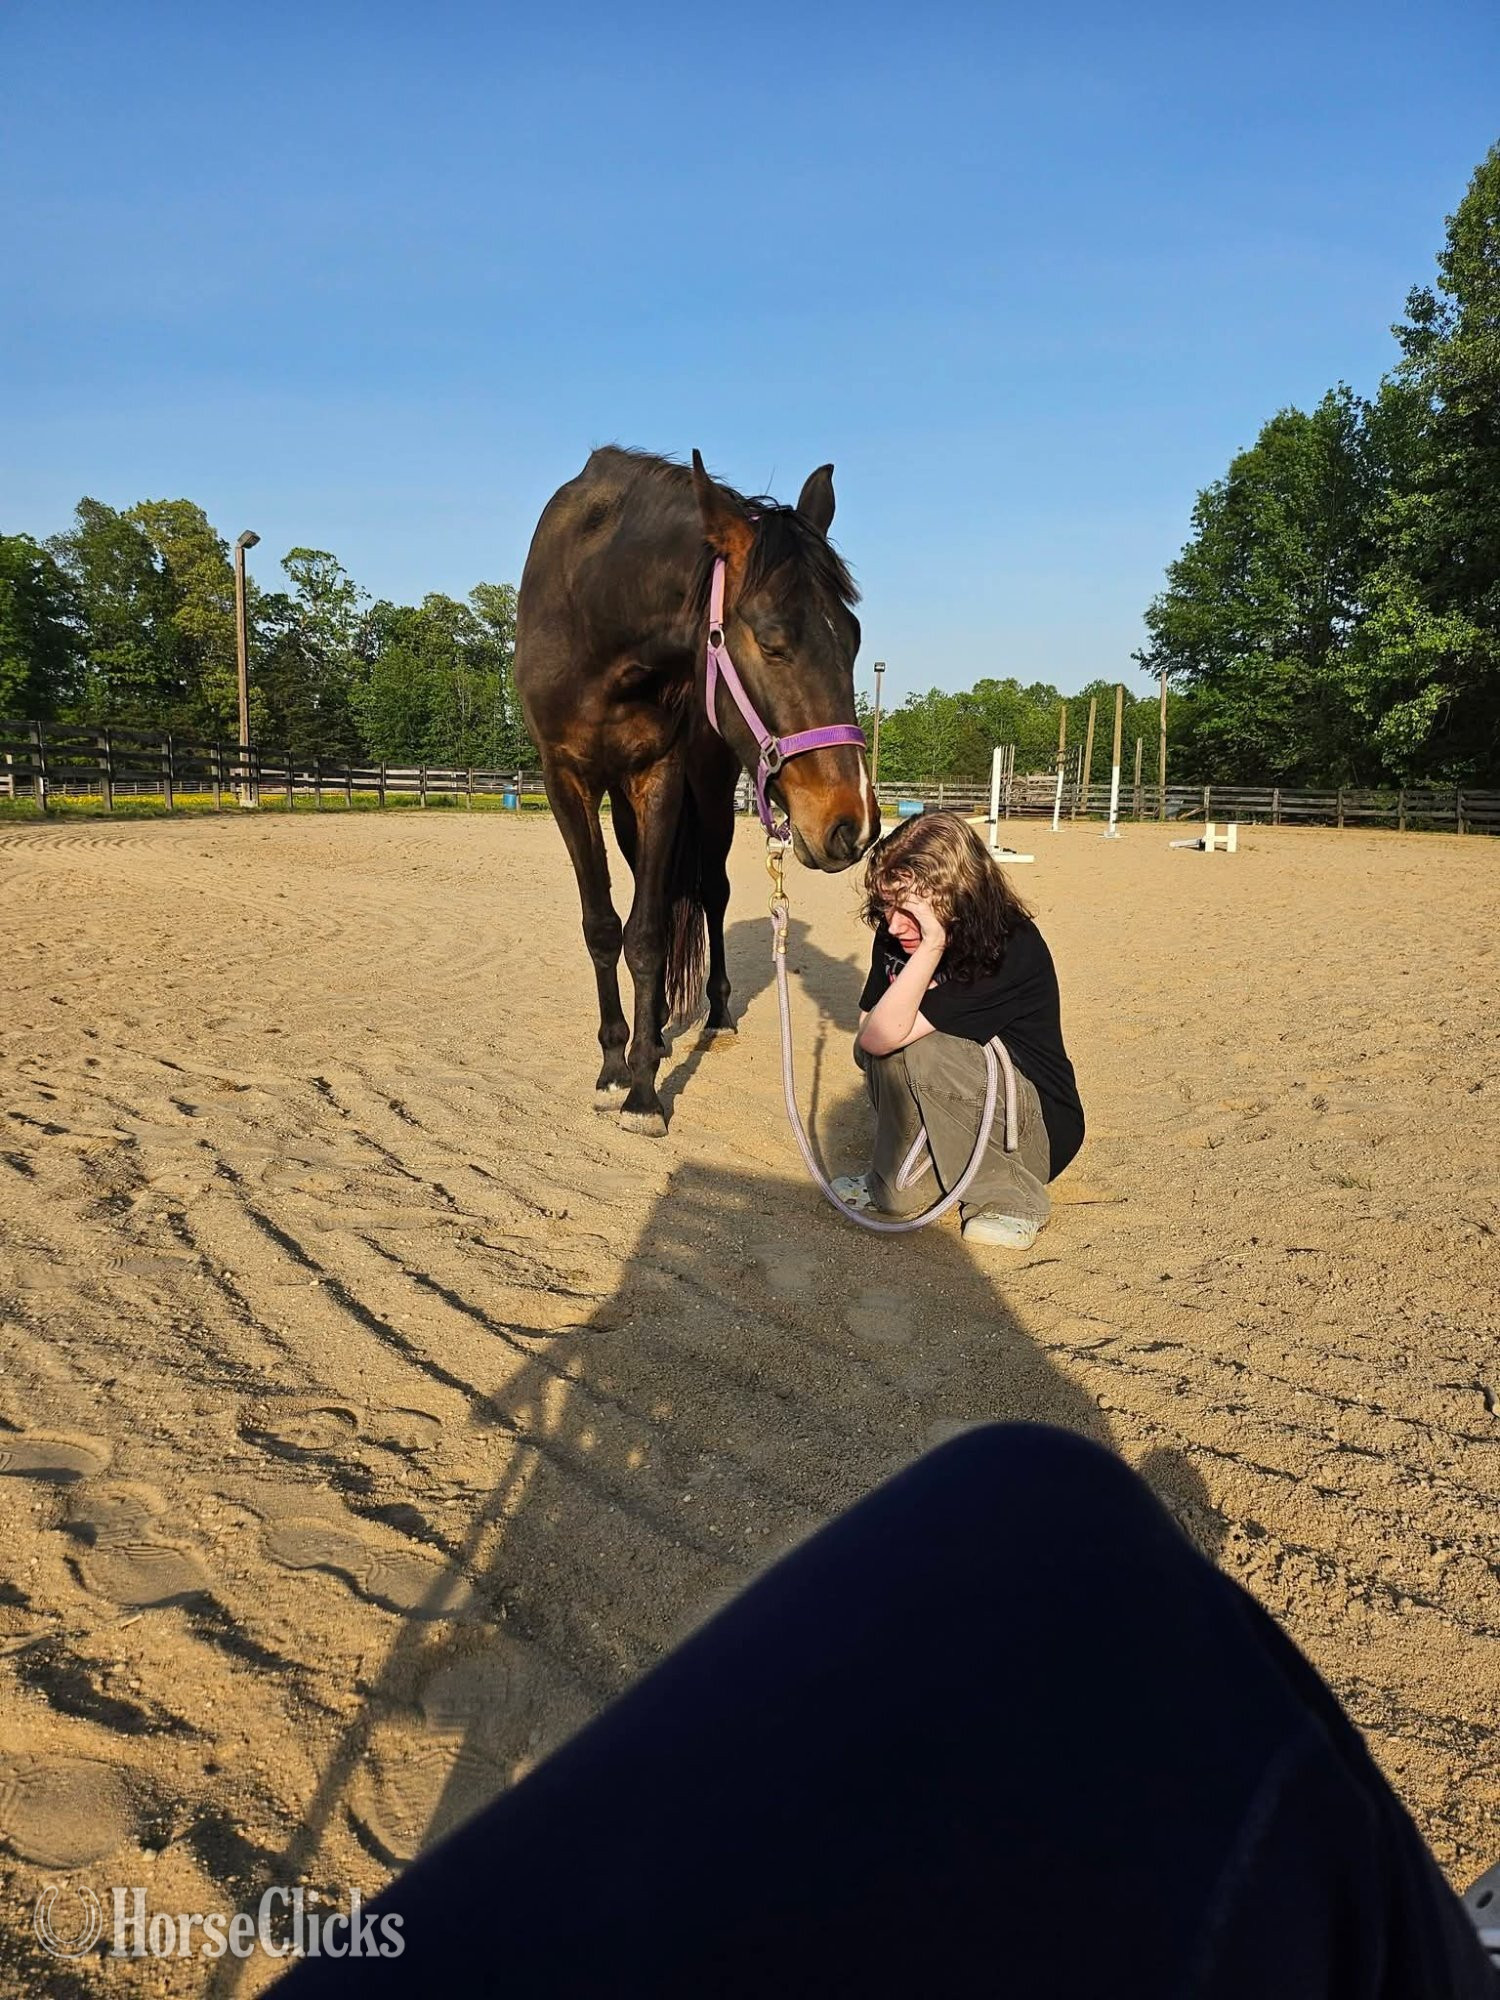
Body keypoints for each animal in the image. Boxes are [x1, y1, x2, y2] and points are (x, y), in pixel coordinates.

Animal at [515, 446, 879, 1136]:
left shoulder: (660, 773)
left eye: (852, 638)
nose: (852, 826)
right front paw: (615, 1067)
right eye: (772, 641)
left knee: (709, 893)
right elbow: (605, 926)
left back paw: (712, 1016)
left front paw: (642, 1092)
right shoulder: (565, 781)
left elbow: (648, 931)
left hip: (709, 795)